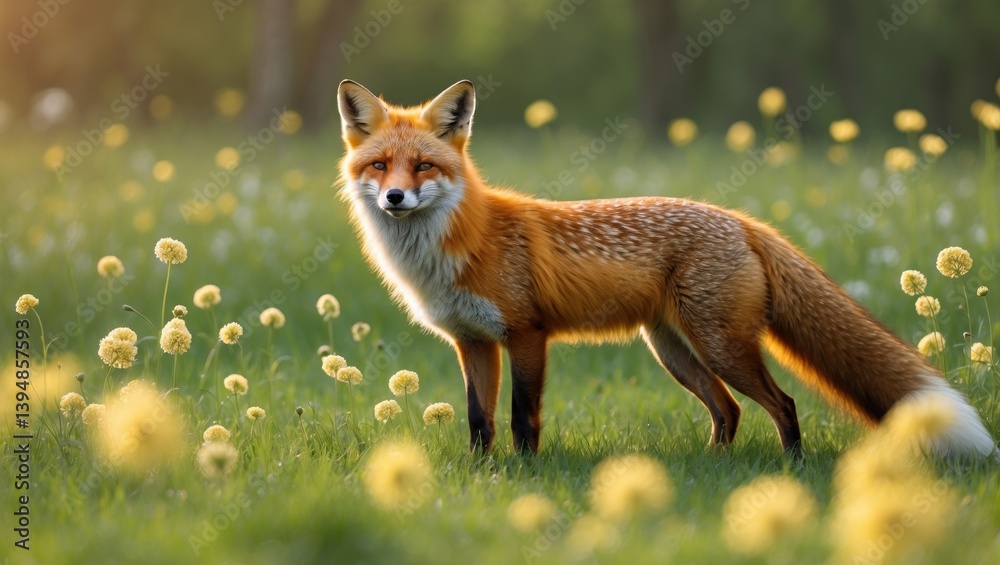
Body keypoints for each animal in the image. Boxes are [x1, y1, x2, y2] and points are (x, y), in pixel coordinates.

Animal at [335, 79, 996, 459]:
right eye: (379, 165)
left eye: (423, 166)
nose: (395, 197)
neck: (459, 244)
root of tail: (740, 220)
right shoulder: (472, 342)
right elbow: (480, 422)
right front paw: (481, 479)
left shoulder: (525, 334)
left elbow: (523, 420)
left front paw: (524, 479)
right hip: (674, 351)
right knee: (729, 411)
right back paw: (714, 468)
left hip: (722, 346)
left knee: (781, 404)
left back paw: (792, 471)